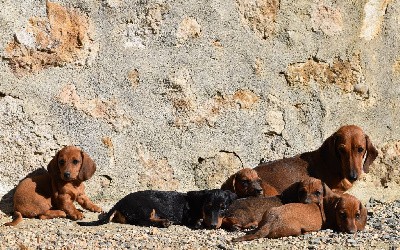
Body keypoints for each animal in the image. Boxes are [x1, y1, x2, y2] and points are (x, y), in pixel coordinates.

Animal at [76, 189, 236, 229]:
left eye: (223, 208)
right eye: (207, 207)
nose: (213, 226)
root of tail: (119, 203)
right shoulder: (188, 216)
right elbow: (195, 220)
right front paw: (199, 222)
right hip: (145, 206)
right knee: (143, 221)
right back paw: (164, 222)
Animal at [233, 188, 368, 241]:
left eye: (357, 215)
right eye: (342, 215)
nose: (352, 232)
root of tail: (270, 223)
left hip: (268, 212)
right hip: (296, 229)